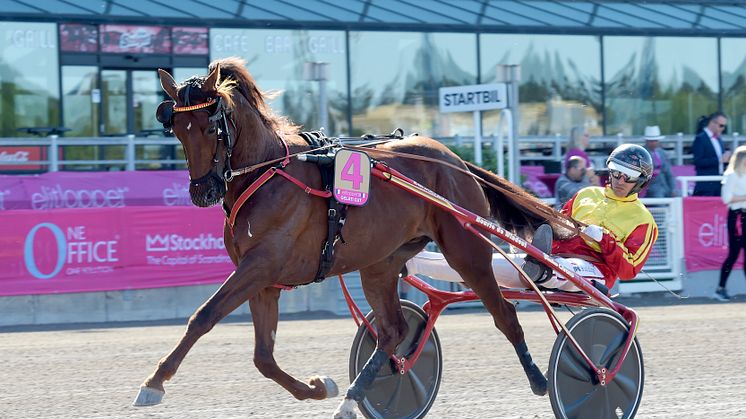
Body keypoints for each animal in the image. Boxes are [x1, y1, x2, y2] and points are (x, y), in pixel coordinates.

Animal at [132, 57, 564, 418]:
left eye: (210, 127)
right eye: (177, 129)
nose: (202, 191)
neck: (269, 173)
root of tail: (454, 159)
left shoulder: (261, 265)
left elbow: (204, 316)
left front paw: (153, 383)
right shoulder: (263, 280)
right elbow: (263, 357)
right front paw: (318, 387)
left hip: (466, 250)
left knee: (504, 313)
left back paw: (541, 379)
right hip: (381, 262)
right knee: (394, 331)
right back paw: (354, 397)